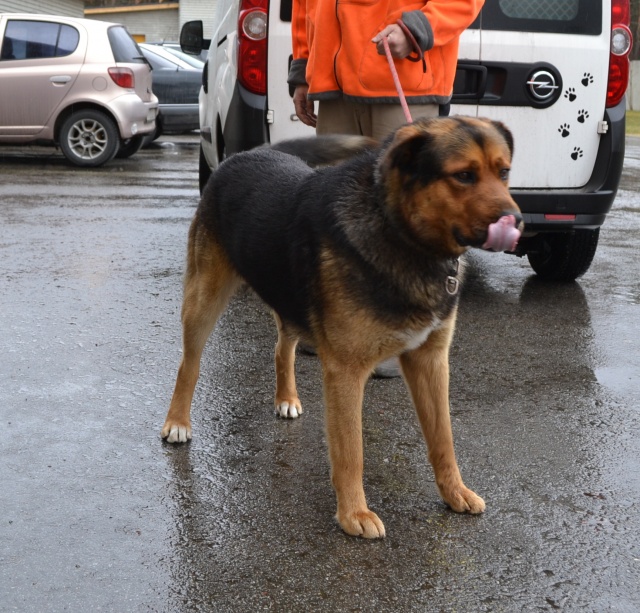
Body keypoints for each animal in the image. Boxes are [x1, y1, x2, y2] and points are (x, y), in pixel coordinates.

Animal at [161, 116, 523, 538]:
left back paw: (286, 397)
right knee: (189, 364)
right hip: (205, 298)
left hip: (287, 298)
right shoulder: (346, 372)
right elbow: (351, 450)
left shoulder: (430, 362)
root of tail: (244, 155)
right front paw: (354, 514)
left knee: (282, 348)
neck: (396, 228)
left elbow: (443, 439)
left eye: (504, 172)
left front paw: (454, 492)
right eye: (464, 175)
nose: (517, 222)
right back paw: (177, 422)